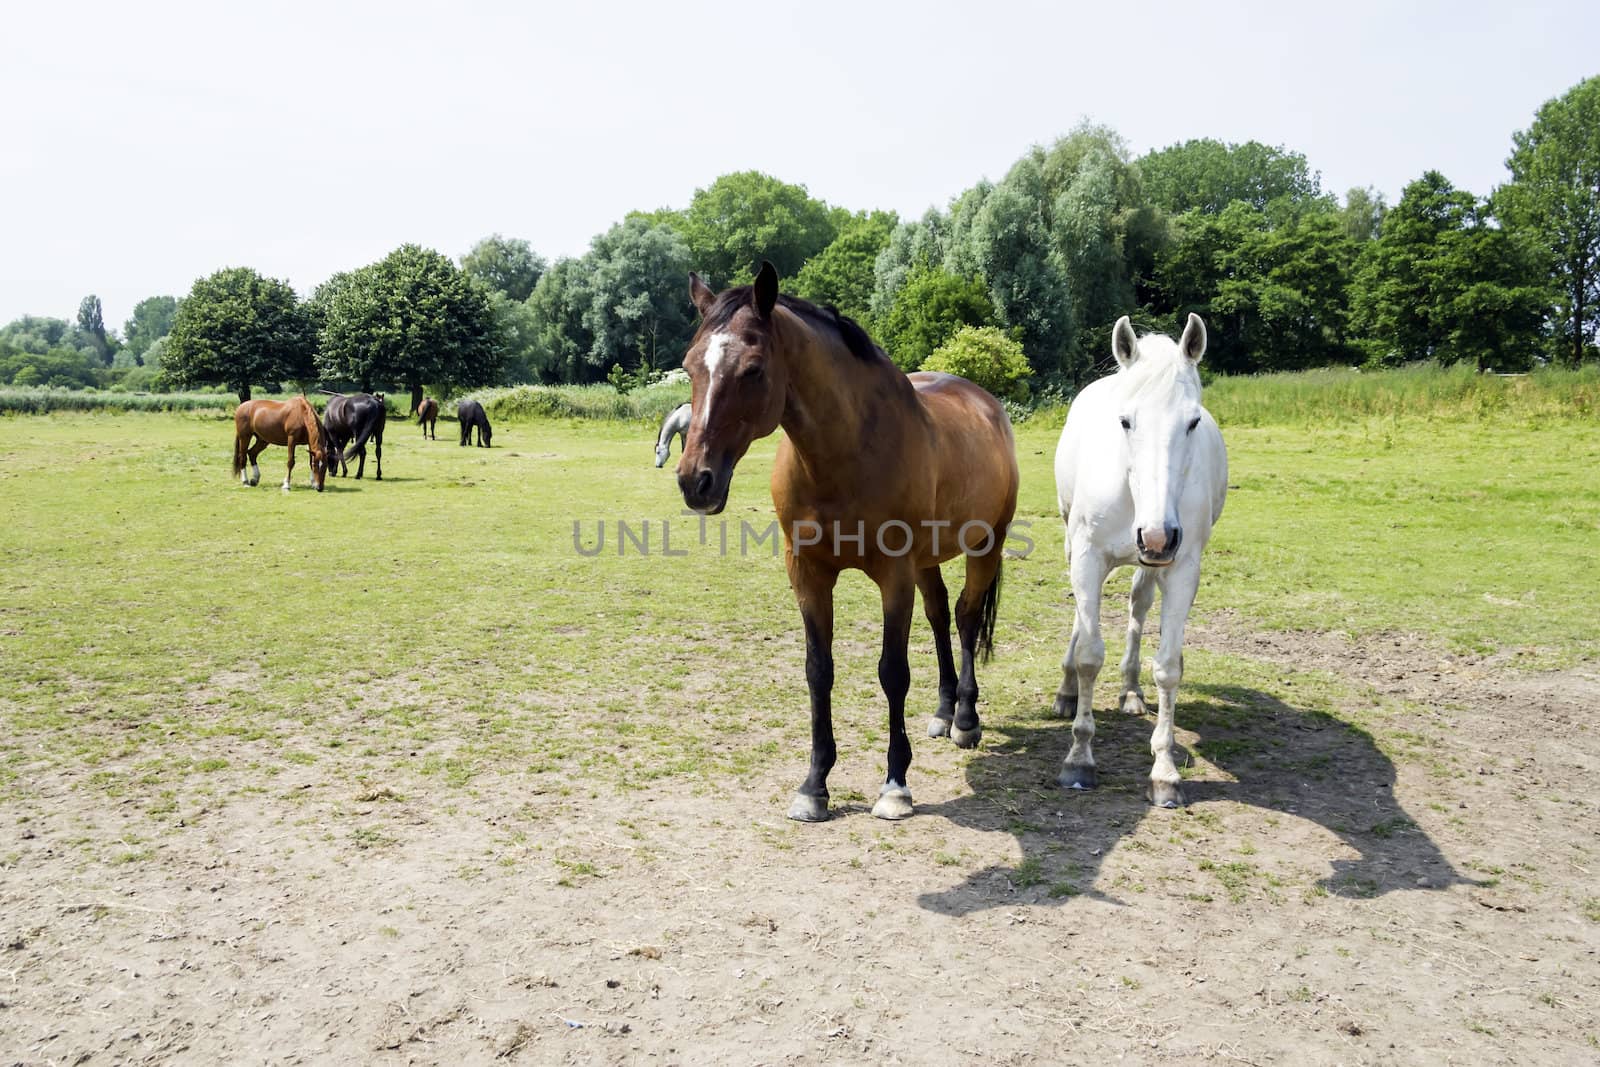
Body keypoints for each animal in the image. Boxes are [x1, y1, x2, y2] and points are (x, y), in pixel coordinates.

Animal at [678, 265, 1024, 825]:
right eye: (690, 366)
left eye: (753, 369)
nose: (695, 481)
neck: (844, 455)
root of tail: (986, 404)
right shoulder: (808, 574)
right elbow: (819, 671)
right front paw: (814, 785)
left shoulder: (894, 576)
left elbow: (893, 672)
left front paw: (895, 784)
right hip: (927, 563)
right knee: (940, 614)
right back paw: (944, 709)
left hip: (984, 547)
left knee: (968, 617)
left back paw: (966, 718)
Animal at [1056, 316, 1228, 809]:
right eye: (1125, 421)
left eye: (1193, 422)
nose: (1156, 535)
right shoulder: (1088, 556)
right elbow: (1089, 654)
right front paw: (1079, 759)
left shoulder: (1182, 566)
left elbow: (1169, 668)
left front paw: (1165, 772)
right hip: (1079, 545)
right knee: (1082, 619)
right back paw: (1066, 690)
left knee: (1138, 605)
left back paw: (1130, 690)